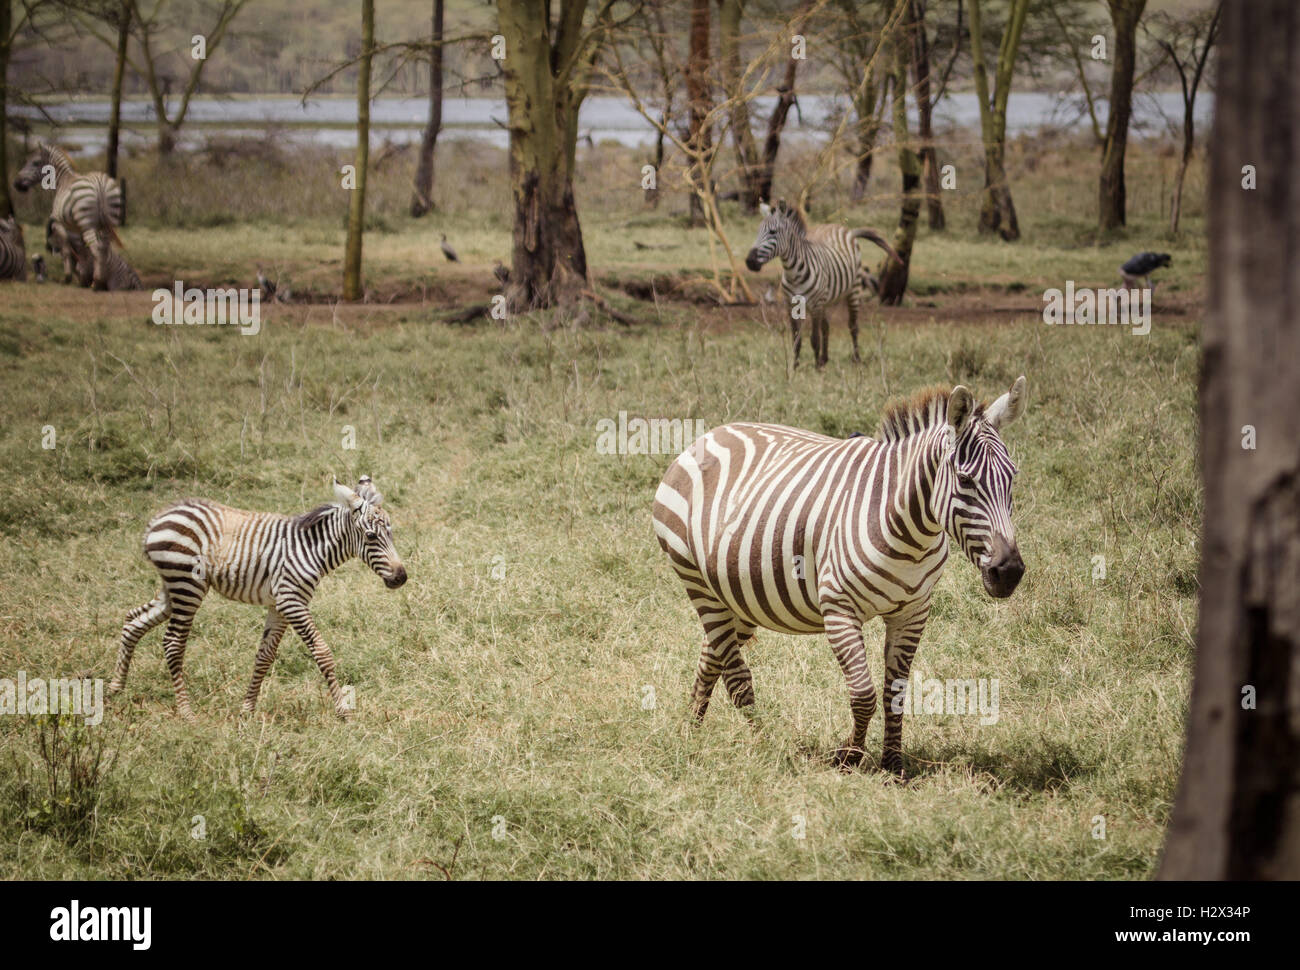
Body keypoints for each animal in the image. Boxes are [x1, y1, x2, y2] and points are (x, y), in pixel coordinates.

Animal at [12, 141, 122, 288]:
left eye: (35, 163)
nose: (16, 183)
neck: (62, 182)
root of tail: (100, 184)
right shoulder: (77, 228)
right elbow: (82, 251)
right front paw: (83, 277)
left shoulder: (60, 224)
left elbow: (66, 250)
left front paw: (69, 277)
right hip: (107, 224)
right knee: (104, 248)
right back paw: (101, 280)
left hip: (87, 223)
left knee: (96, 248)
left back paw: (97, 282)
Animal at [111, 475, 405, 717]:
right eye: (371, 536)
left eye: (391, 532)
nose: (401, 577)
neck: (311, 549)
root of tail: (158, 519)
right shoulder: (292, 600)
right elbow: (322, 653)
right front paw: (343, 710)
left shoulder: (279, 605)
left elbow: (264, 656)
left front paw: (247, 709)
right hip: (186, 584)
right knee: (173, 643)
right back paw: (186, 713)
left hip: (172, 586)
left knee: (134, 620)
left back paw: (115, 689)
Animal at [655, 377, 1029, 769]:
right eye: (965, 480)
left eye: (1012, 478)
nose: (1009, 572)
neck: (908, 529)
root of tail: (709, 434)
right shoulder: (838, 608)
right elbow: (864, 693)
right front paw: (849, 757)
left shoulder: (913, 611)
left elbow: (895, 692)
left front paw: (892, 764)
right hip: (697, 581)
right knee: (736, 675)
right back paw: (764, 744)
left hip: (740, 594)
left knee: (711, 654)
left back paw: (692, 729)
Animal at [743, 198, 904, 369]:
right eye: (758, 231)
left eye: (773, 232)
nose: (749, 261)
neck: (793, 273)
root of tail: (845, 229)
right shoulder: (791, 306)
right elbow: (796, 340)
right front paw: (795, 367)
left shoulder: (815, 305)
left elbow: (814, 339)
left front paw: (817, 369)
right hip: (826, 300)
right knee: (826, 327)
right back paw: (824, 358)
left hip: (853, 291)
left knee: (853, 326)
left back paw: (856, 359)